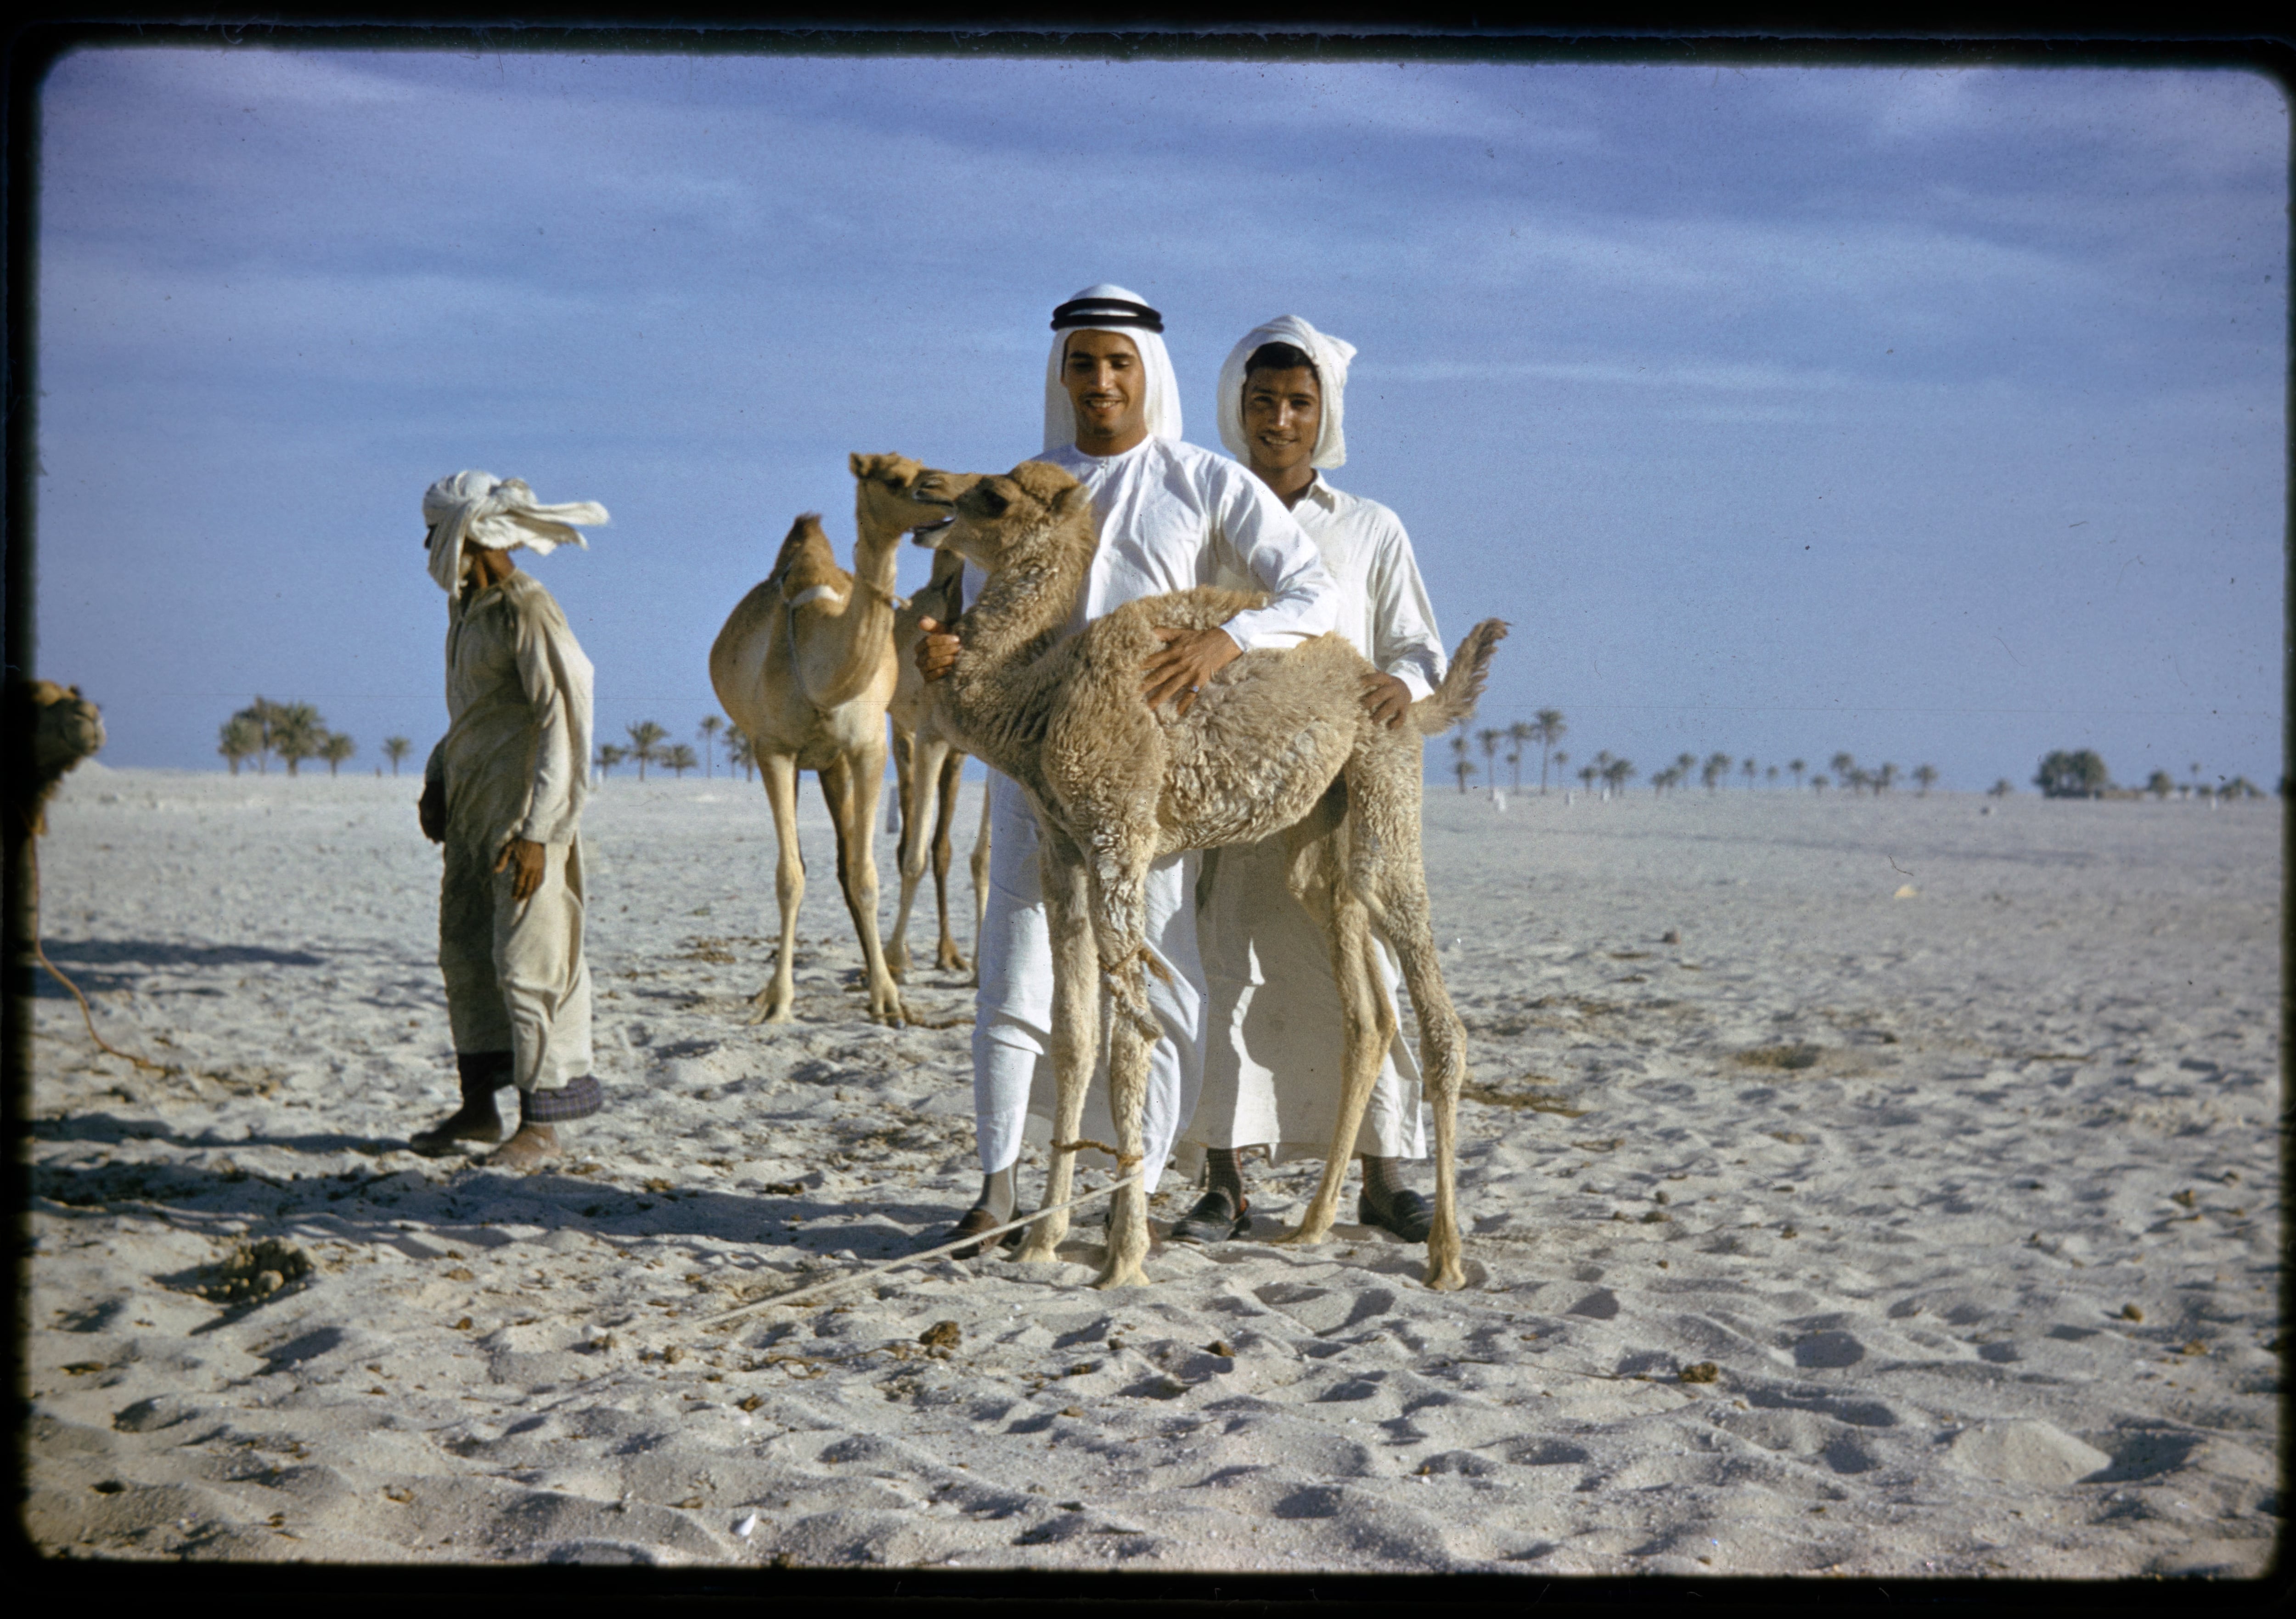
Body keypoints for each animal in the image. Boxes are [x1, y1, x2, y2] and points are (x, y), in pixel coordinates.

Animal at [709, 453, 949, 1027]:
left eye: (924, 465)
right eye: (893, 478)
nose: (946, 494)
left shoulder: (867, 750)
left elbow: (865, 874)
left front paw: (888, 997)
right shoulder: (772, 749)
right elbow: (789, 877)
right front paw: (777, 999)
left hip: (833, 763)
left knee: (846, 864)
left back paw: (869, 972)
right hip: (797, 759)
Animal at [912, 459, 1506, 1291]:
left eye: (994, 496)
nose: (928, 486)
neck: (1038, 700)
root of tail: (1393, 692)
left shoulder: (1118, 840)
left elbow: (1133, 1037)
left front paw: (1124, 1253)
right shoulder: (1062, 851)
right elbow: (1074, 1038)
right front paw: (1042, 1241)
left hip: (1385, 793)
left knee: (1436, 1014)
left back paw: (1446, 1253)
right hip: (1319, 843)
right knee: (1366, 1013)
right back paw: (1312, 1226)